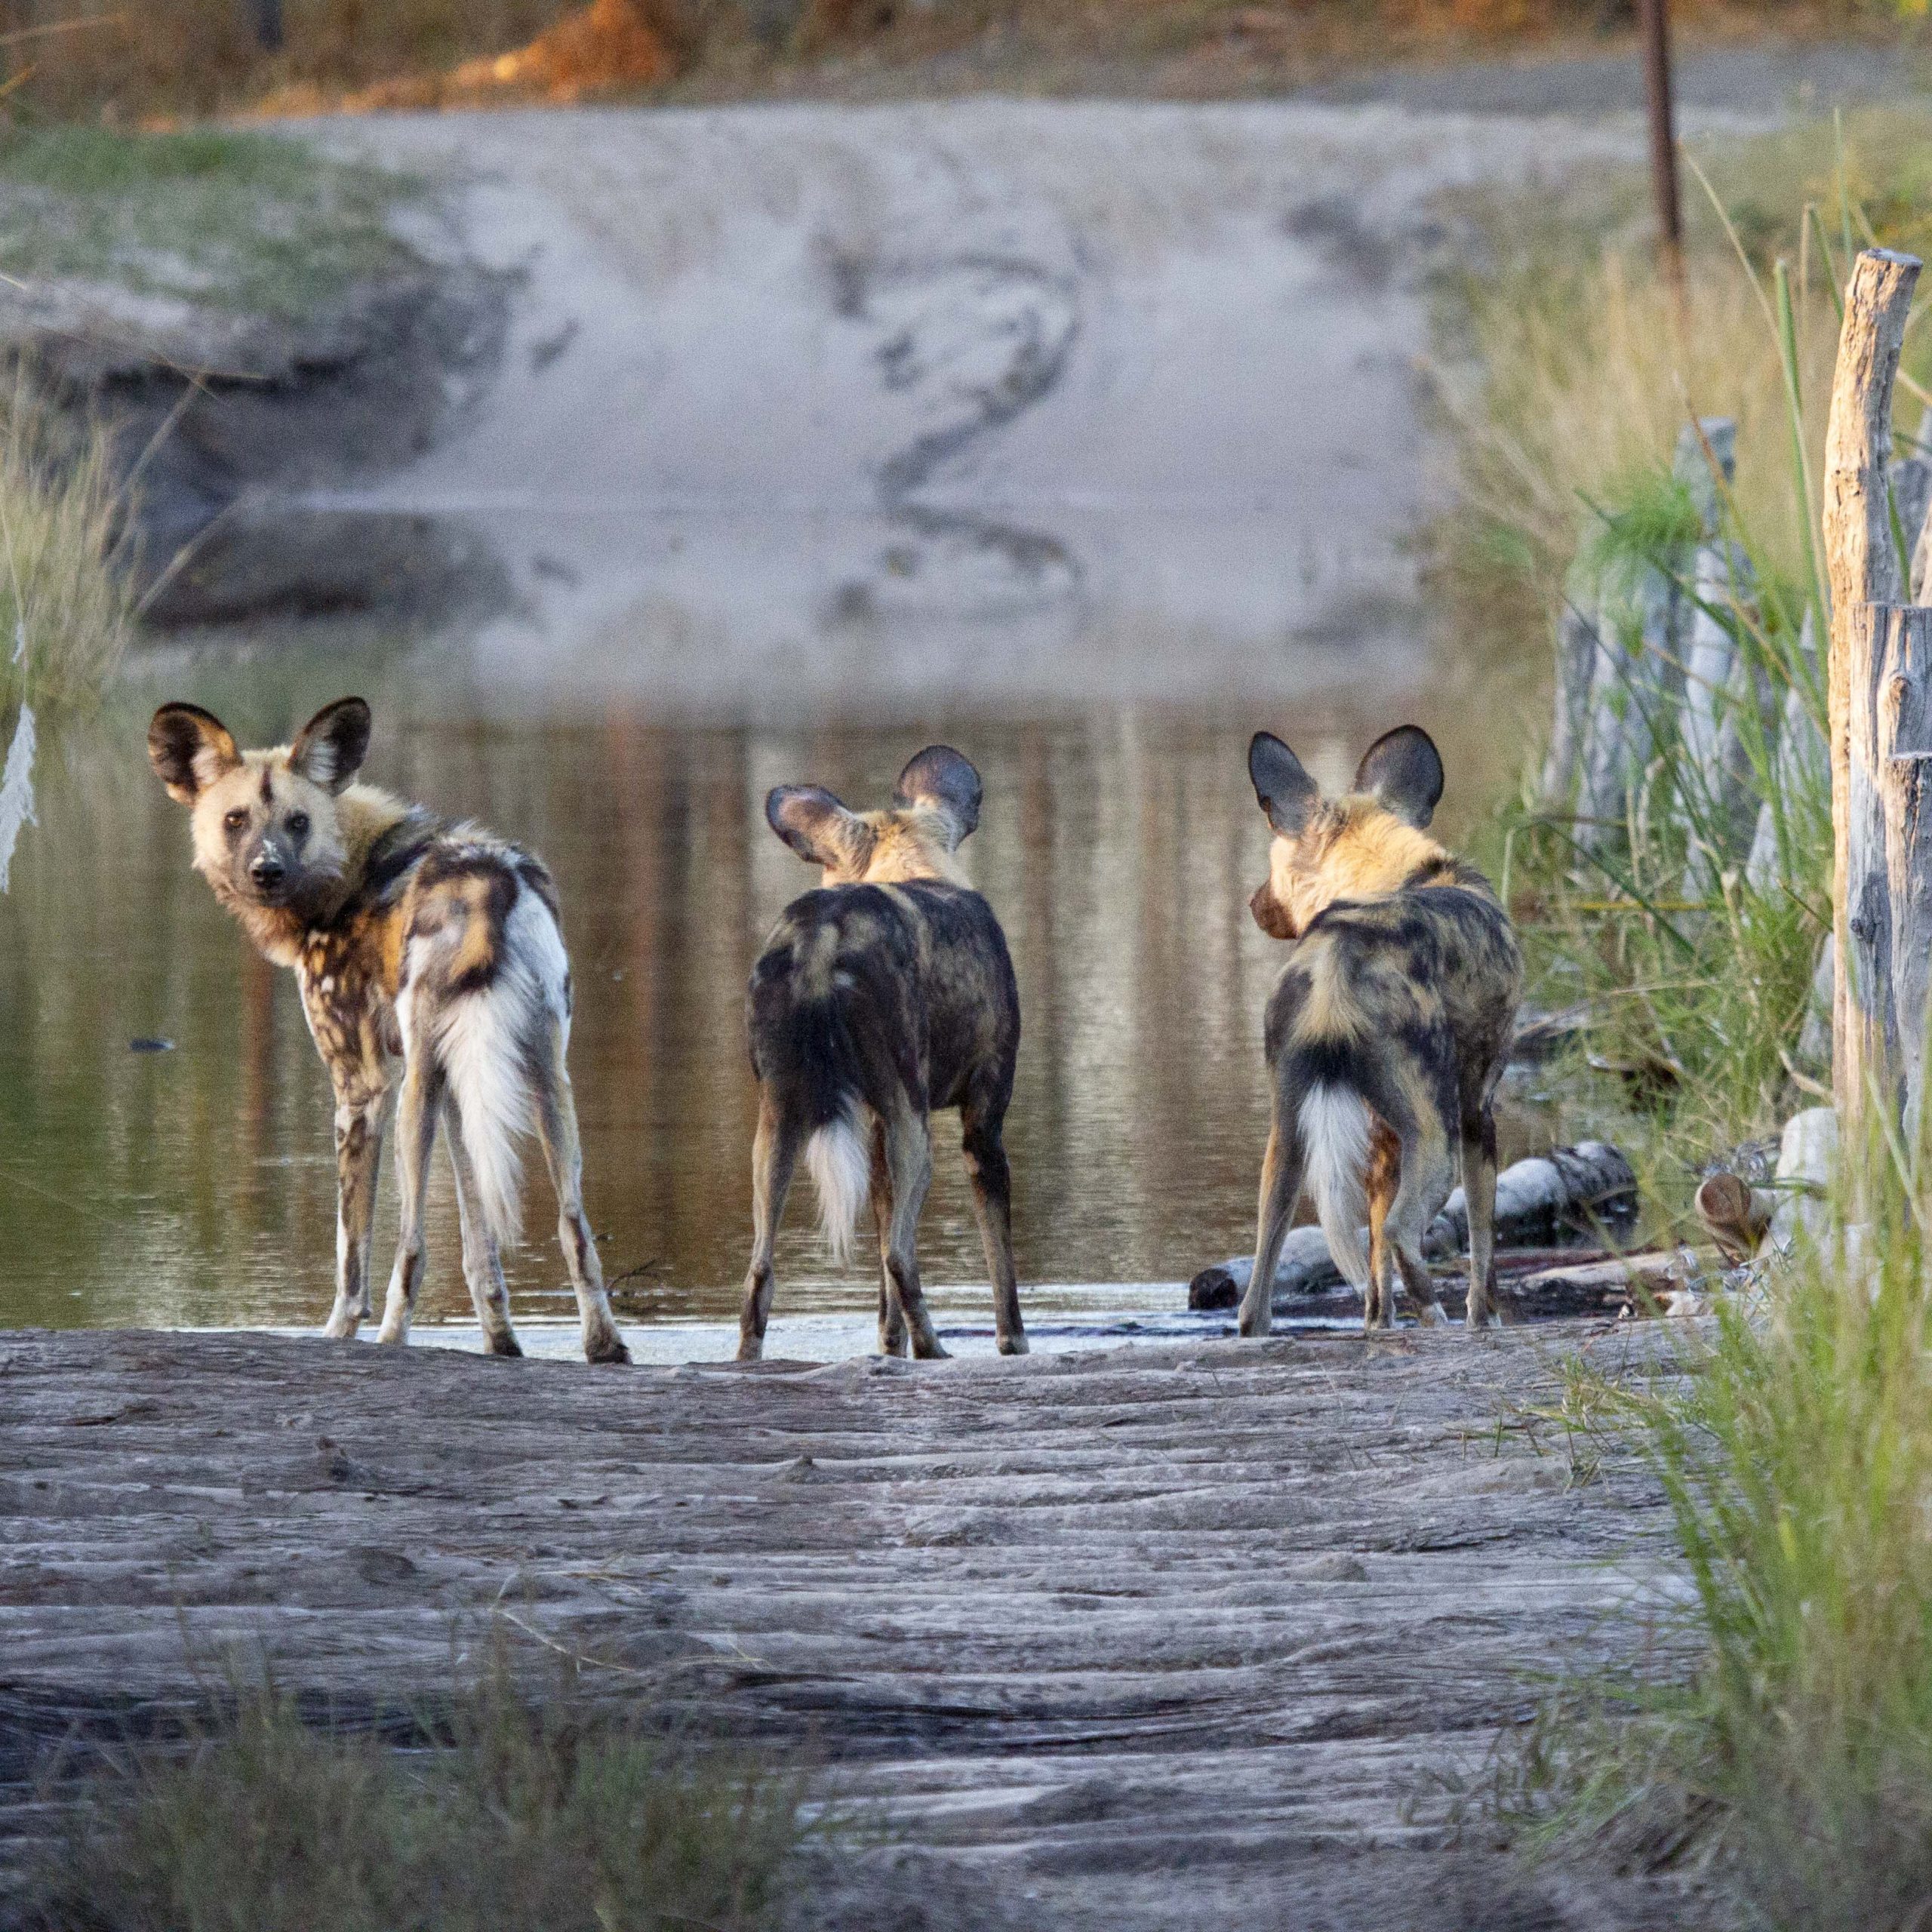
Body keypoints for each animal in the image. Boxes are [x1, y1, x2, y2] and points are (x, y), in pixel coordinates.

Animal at [153, 695, 633, 1360]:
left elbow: (350, 1251)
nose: (267, 871)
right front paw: (500, 1342)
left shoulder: (361, 1089)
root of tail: (491, 879)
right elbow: (480, 1243)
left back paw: (389, 1338)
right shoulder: (461, 1087)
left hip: (411, 1096)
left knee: (409, 1243)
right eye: (235, 820)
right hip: (544, 1083)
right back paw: (604, 1346)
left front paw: (338, 1333)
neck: (347, 870)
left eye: (298, 822)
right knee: (575, 1226)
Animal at [737, 746, 1027, 1367]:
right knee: (901, 1257)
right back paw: (935, 1349)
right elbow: (1002, 1271)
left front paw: (889, 1347)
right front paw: (1014, 1344)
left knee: (760, 1272)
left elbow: (882, 1295)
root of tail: (824, 931)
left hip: (779, 1122)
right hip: (914, 1127)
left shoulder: (872, 1134)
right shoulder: (983, 1125)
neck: (909, 863)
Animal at [1244, 722, 1515, 1329]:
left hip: (1287, 1139)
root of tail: (1336, 954)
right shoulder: (1477, 1115)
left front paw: (1378, 1324)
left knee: (1257, 1295)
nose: (1253, 904)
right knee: (1401, 1233)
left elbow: (1373, 1281)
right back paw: (1436, 1317)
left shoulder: (1382, 1141)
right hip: (1437, 1138)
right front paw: (1484, 1321)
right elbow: (1484, 1251)